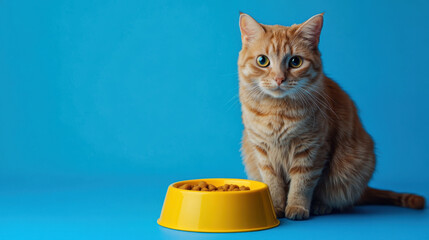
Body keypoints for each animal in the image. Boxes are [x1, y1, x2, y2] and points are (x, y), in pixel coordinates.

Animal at [237, 12, 424, 219]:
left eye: (295, 62)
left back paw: (321, 206)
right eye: (263, 61)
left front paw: (297, 208)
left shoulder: (312, 150)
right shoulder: (262, 152)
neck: (278, 112)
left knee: (339, 200)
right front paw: (275, 207)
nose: (279, 79)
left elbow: (302, 184)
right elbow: (273, 184)